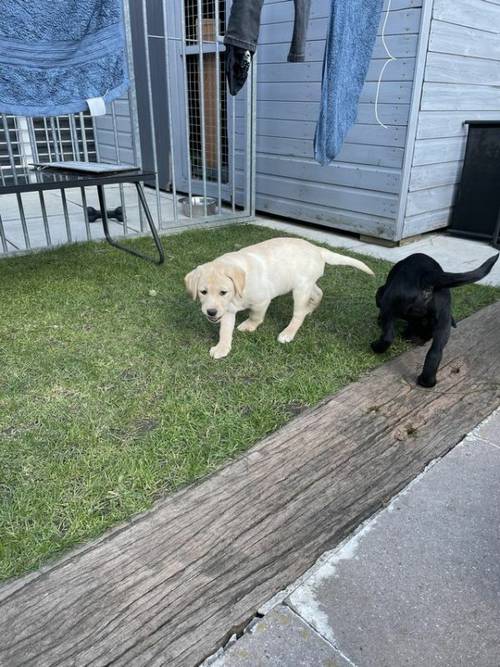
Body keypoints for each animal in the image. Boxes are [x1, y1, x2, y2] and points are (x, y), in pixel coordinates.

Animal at [186, 236, 374, 358]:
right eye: (203, 292)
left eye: (223, 292)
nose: (211, 312)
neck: (238, 291)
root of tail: (317, 249)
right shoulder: (227, 311)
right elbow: (224, 330)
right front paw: (222, 348)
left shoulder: (261, 301)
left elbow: (255, 316)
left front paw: (249, 326)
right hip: (306, 283)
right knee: (318, 293)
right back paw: (310, 309)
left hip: (300, 290)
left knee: (298, 314)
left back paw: (288, 332)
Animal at [370, 253, 498, 388]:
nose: (420, 340)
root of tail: (428, 276)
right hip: (444, 319)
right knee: (435, 353)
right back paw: (427, 381)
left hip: (390, 302)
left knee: (388, 337)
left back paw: (376, 347)